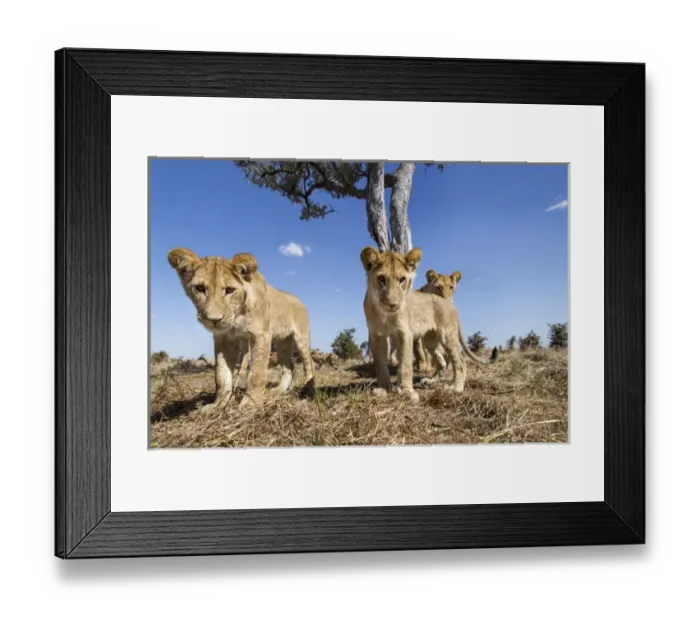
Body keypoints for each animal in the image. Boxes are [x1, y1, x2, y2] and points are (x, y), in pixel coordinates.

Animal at [167, 248, 315, 410]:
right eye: (200, 288)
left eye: (230, 290)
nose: (214, 320)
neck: (237, 315)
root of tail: (299, 300)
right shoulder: (224, 339)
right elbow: (221, 375)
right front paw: (217, 405)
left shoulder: (261, 335)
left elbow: (257, 372)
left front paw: (250, 404)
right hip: (282, 342)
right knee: (289, 367)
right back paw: (277, 391)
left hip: (301, 338)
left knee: (309, 364)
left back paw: (307, 391)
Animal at [360, 246, 468, 402]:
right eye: (381, 278)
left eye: (402, 279)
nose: (393, 304)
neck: (385, 315)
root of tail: (450, 304)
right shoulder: (376, 335)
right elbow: (380, 365)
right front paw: (383, 389)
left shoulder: (404, 333)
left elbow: (405, 364)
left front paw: (407, 391)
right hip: (430, 341)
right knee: (442, 361)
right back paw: (431, 381)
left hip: (447, 335)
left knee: (460, 362)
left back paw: (456, 387)